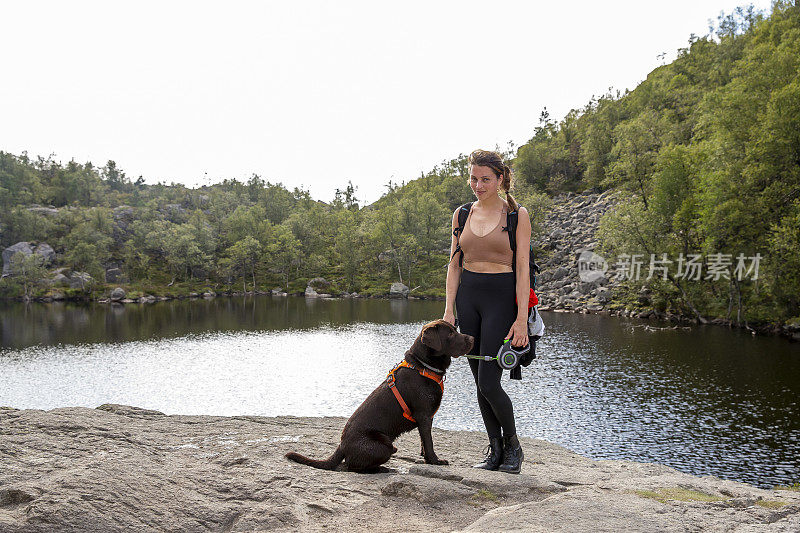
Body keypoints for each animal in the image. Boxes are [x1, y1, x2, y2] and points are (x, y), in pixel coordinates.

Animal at [284, 318, 472, 472]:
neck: (423, 366)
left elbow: (423, 443)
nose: (472, 338)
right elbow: (429, 442)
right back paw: (382, 469)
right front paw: (435, 461)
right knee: (352, 466)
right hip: (384, 446)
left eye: (455, 329)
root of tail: (341, 446)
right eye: (450, 333)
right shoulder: (424, 416)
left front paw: (427, 459)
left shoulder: (426, 419)